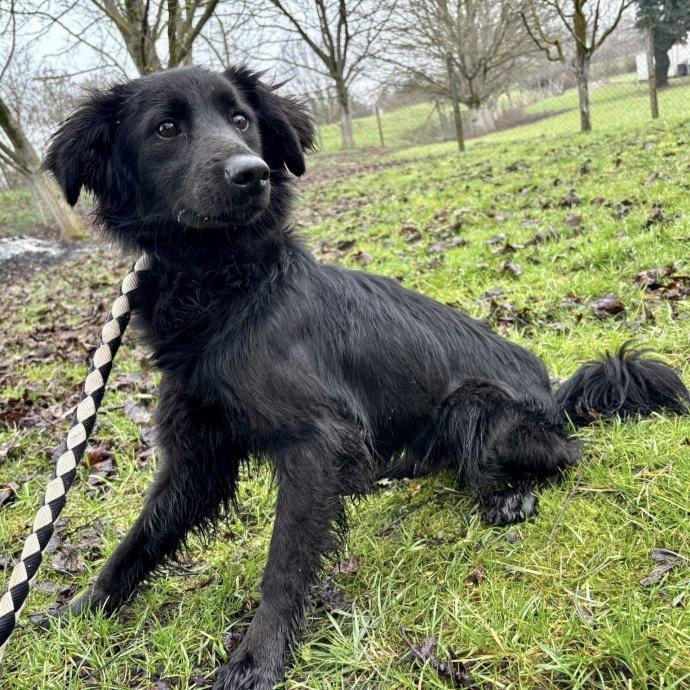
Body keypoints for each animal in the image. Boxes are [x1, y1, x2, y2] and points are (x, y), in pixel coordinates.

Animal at [43, 65, 689, 689]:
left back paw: (512, 495)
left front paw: (257, 659)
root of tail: (552, 394)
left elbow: (284, 564)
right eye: (166, 129)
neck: (226, 287)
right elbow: (142, 538)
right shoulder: (197, 452)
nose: (252, 174)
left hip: (477, 407)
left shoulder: (314, 440)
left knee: (565, 452)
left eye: (241, 119)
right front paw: (76, 612)